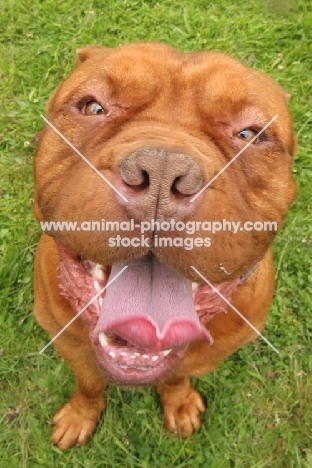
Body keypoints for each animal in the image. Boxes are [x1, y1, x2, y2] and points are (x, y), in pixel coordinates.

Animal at [33, 44, 296, 450]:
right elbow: (89, 383)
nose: (160, 172)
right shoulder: (70, 344)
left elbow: (175, 376)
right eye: (93, 107)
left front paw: (179, 402)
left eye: (250, 134)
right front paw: (81, 414)